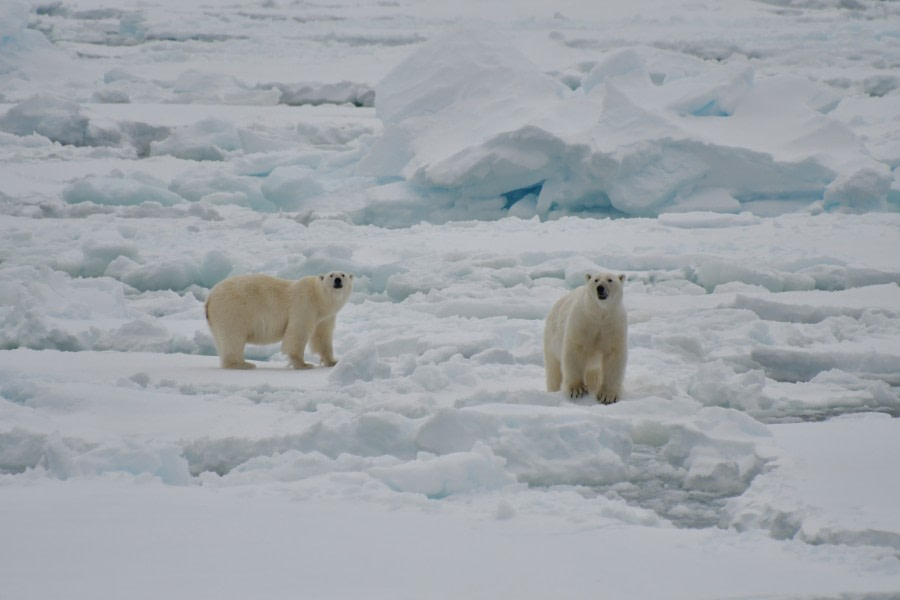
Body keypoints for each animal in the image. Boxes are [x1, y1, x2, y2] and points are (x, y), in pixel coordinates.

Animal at [206, 270, 354, 368]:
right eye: (331, 275)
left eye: (343, 274)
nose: (337, 280)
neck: (319, 298)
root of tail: (209, 298)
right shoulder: (304, 303)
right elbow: (298, 331)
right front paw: (303, 364)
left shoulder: (325, 316)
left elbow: (322, 336)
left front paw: (333, 361)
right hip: (233, 309)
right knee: (233, 336)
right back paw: (243, 364)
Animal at [540, 270, 624, 404]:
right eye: (595, 279)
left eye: (610, 280)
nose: (600, 288)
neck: (599, 314)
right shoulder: (582, 321)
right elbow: (575, 350)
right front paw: (576, 390)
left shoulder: (613, 325)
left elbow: (613, 356)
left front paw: (607, 396)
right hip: (551, 340)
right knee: (554, 370)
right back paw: (554, 389)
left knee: (594, 375)